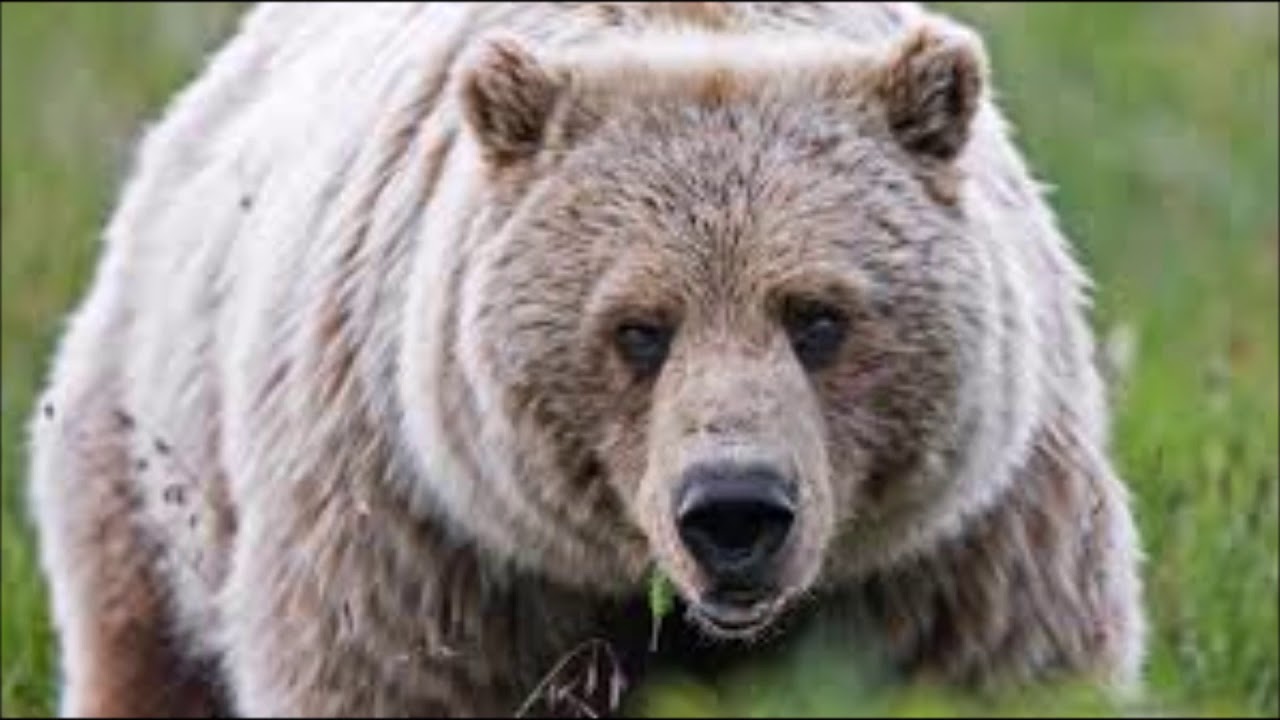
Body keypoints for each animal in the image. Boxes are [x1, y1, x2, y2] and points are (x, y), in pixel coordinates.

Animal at [28, 2, 1146, 716]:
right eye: (638, 328)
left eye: (819, 318)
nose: (734, 511)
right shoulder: (423, 550)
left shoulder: (961, 557)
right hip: (149, 479)